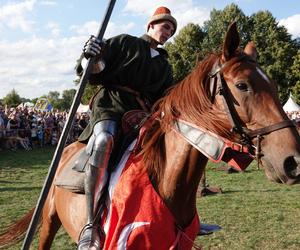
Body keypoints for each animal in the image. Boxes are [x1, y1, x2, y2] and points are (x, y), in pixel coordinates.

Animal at [0, 22, 300, 250]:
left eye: (274, 85)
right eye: (242, 85)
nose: (293, 162)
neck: (166, 180)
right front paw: (92, 53)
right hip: (50, 220)